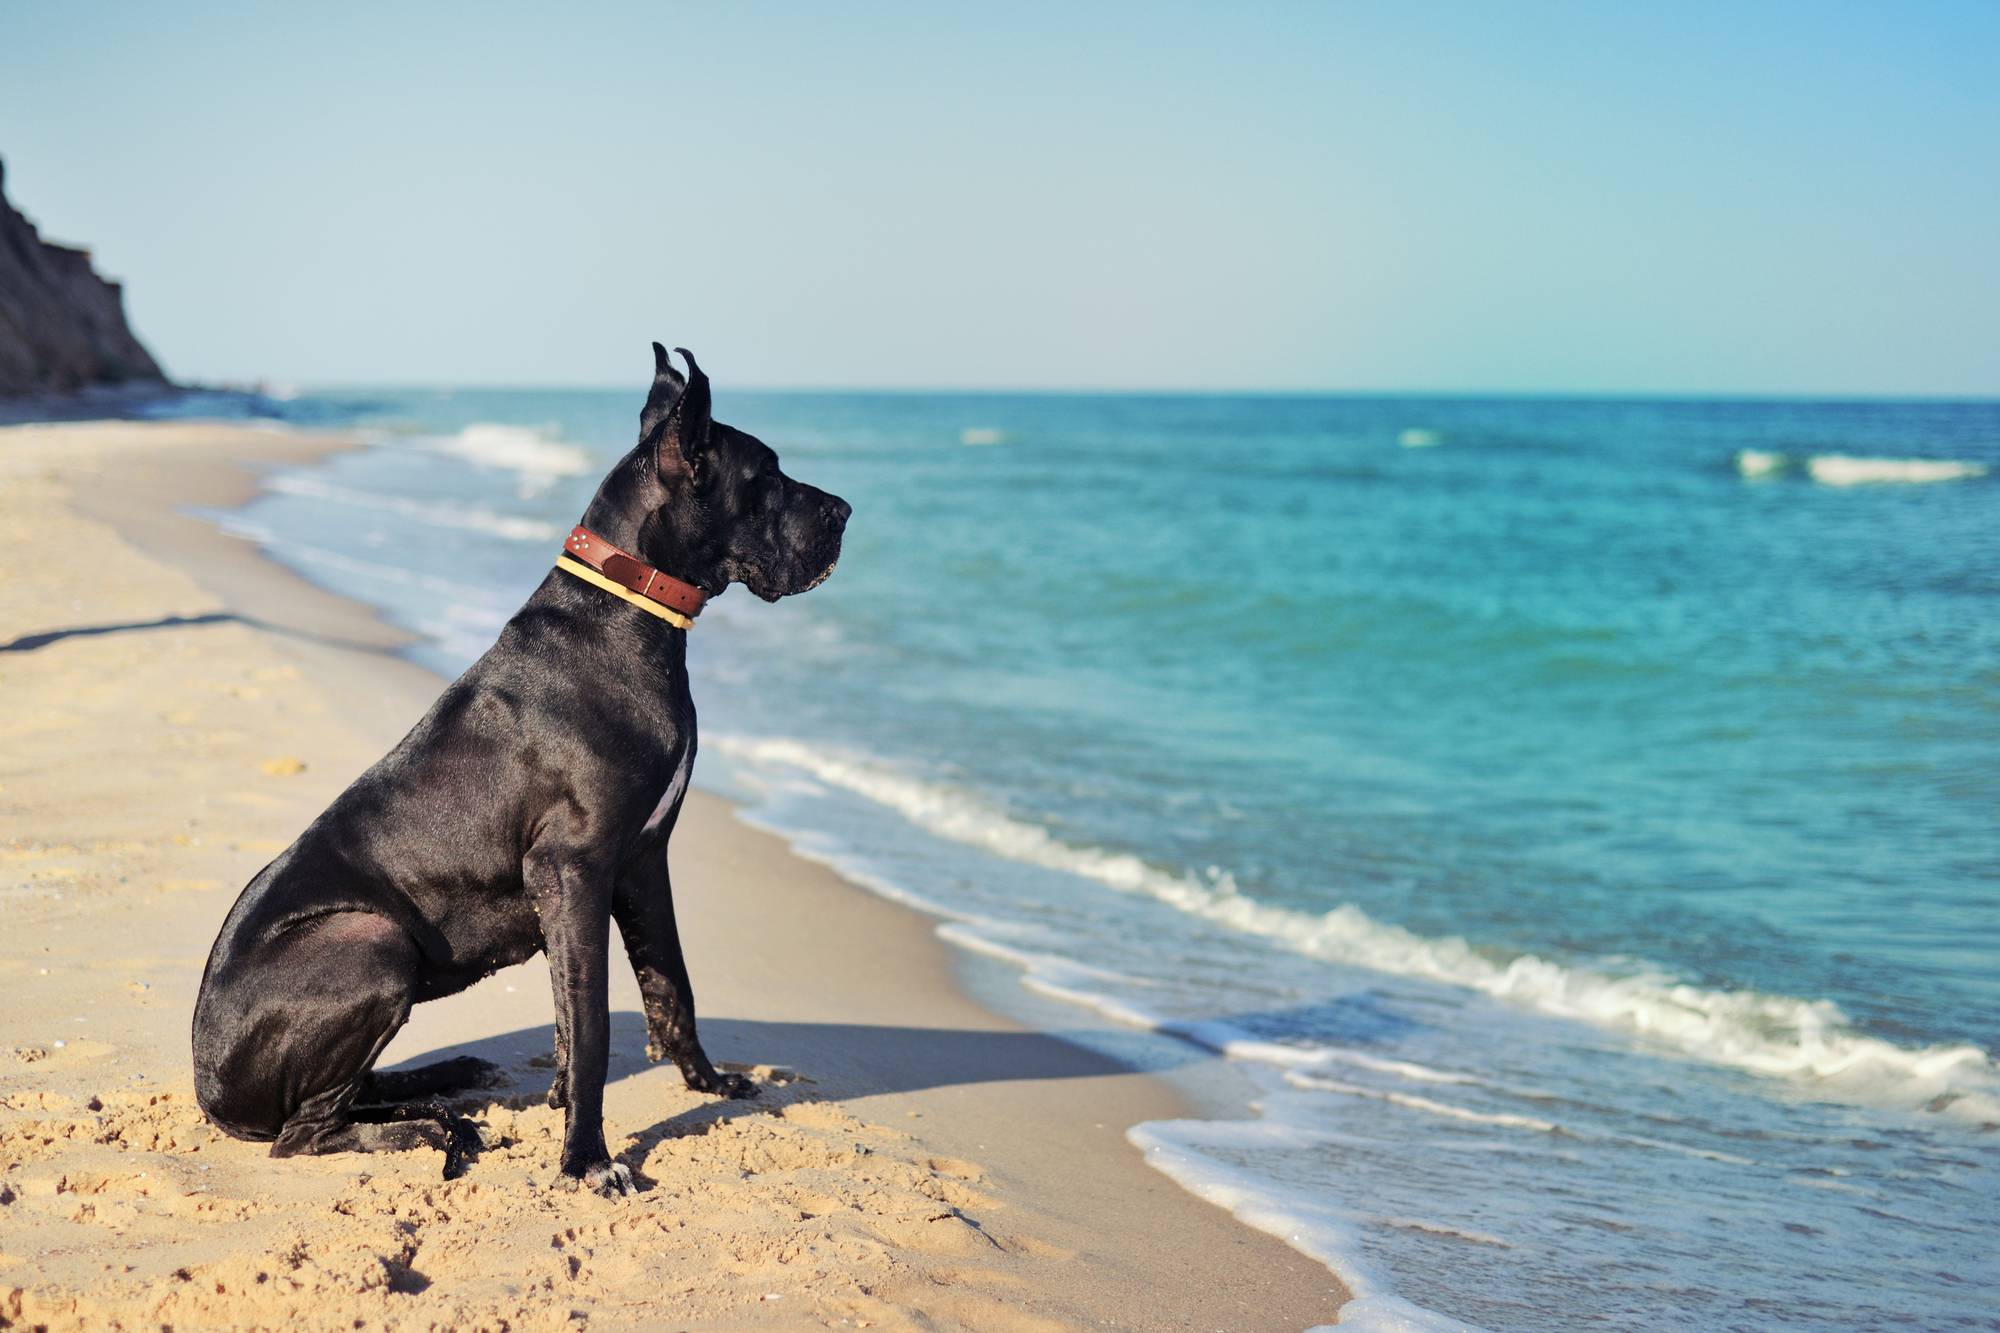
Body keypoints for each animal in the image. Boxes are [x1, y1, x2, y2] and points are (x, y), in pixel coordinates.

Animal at [188, 344, 844, 1192]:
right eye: (765, 475)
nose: (845, 511)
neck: (628, 610)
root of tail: (208, 1086)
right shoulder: (573, 866)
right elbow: (593, 1024)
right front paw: (589, 1160)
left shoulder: (640, 860)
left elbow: (664, 985)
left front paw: (705, 1083)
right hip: (371, 937)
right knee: (304, 1131)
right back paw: (426, 1127)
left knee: (351, 1094)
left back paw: (442, 1085)